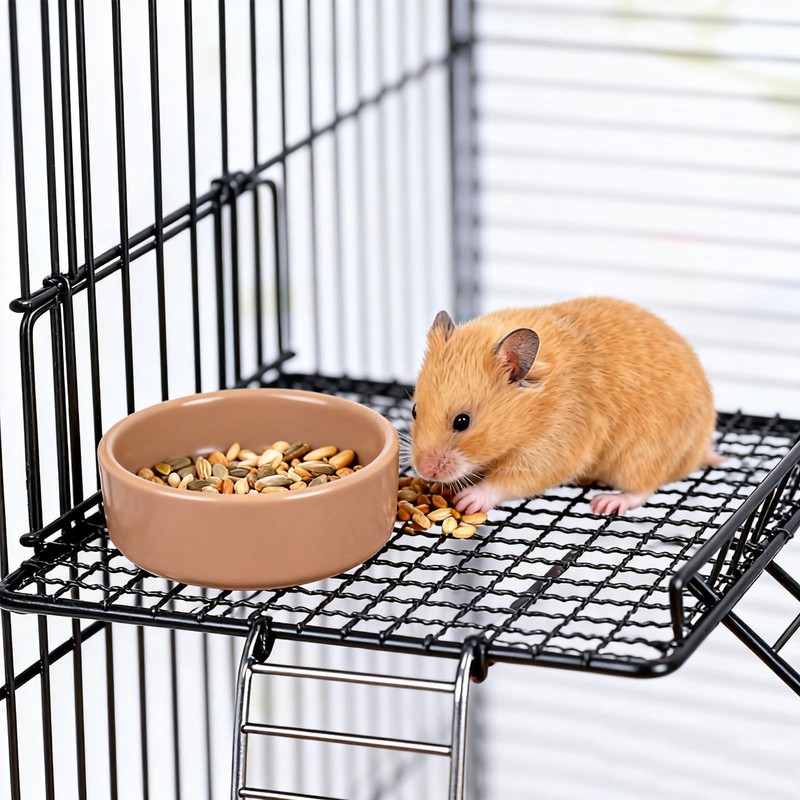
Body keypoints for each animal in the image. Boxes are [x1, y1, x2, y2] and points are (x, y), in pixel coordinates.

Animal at [410, 297, 722, 516]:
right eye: (414, 411)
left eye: (462, 421)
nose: (424, 471)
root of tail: (699, 450)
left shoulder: (554, 445)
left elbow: (512, 480)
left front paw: (466, 500)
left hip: (643, 455)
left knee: (642, 489)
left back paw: (607, 503)